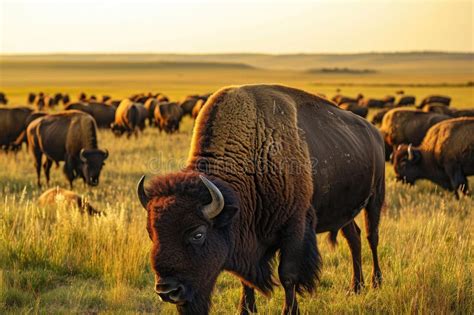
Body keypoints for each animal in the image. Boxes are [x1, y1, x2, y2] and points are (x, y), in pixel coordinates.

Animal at [134, 84, 386, 315]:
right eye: (151, 233)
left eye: (198, 234)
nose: (167, 290)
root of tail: (375, 132)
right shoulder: (247, 239)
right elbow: (246, 280)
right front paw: (245, 309)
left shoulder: (295, 228)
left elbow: (288, 275)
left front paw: (289, 311)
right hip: (345, 213)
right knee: (354, 238)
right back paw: (355, 287)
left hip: (375, 198)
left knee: (372, 237)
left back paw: (376, 282)